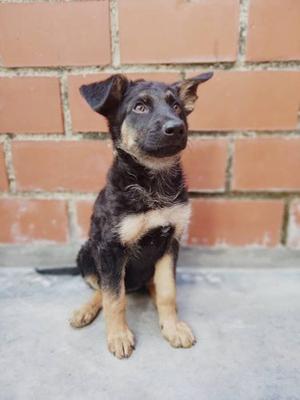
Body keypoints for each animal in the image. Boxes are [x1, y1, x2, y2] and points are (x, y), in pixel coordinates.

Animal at [69, 72, 213, 360]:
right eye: (140, 107)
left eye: (177, 107)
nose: (177, 128)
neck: (153, 183)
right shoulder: (111, 249)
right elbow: (114, 298)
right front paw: (119, 336)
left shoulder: (170, 242)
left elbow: (169, 291)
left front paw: (172, 327)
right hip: (88, 253)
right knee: (102, 289)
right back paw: (85, 310)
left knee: (152, 286)